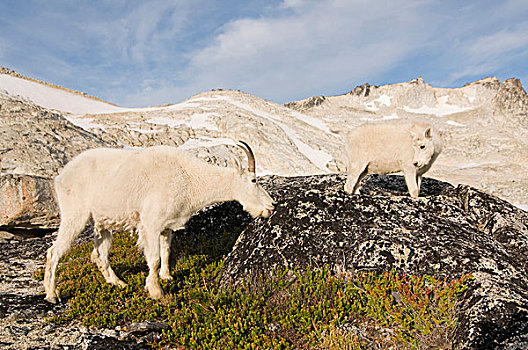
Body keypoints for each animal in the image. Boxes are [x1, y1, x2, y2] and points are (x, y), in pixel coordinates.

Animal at [43, 141, 274, 302]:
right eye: (254, 180)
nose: (271, 207)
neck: (189, 178)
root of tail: (61, 176)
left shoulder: (166, 226)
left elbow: (166, 251)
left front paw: (166, 277)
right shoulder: (151, 223)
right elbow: (153, 258)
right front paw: (156, 291)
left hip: (103, 223)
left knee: (98, 254)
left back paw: (118, 283)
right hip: (74, 214)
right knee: (54, 252)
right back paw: (52, 294)